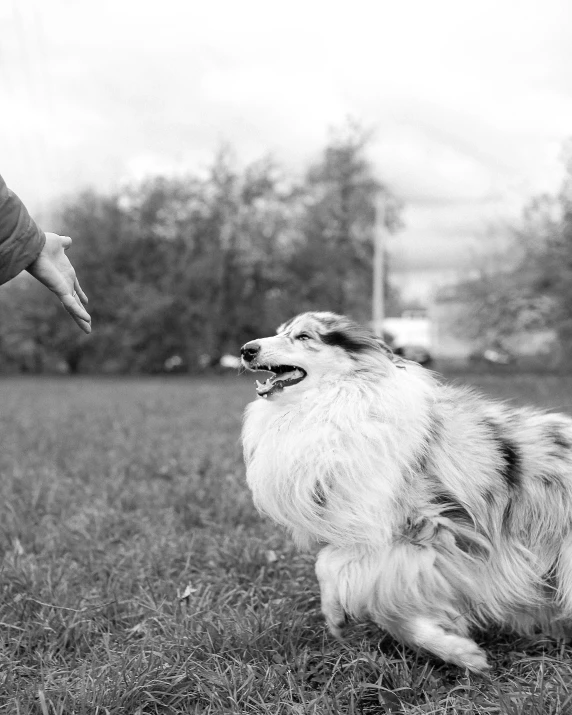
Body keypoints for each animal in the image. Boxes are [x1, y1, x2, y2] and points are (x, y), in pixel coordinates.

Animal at [238, 312, 572, 672]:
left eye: (303, 337)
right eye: (279, 332)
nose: (246, 350)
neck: (340, 401)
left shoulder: (435, 535)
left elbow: (333, 566)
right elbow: (362, 591)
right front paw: (457, 650)